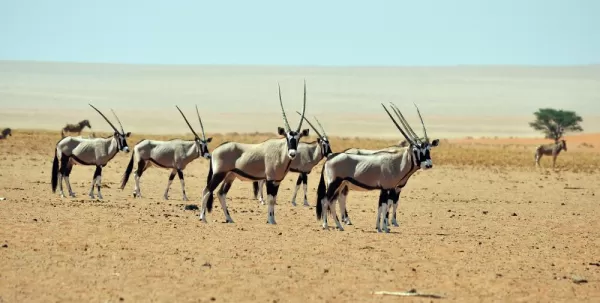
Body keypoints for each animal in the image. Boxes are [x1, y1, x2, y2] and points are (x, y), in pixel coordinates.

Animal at [199, 82, 308, 224]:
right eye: (287, 137)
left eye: (298, 138)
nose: (292, 153)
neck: (280, 152)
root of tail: (216, 150)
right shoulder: (270, 180)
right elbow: (270, 200)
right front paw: (270, 220)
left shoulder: (277, 181)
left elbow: (274, 200)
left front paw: (273, 220)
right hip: (219, 174)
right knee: (207, 191)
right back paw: (203, 218)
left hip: (230, 176)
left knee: (220, 193)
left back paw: (229, 218)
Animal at [316, 102, 438, 233]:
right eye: (416, 150)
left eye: (428, 149)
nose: (428, 164)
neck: (396, 162)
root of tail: (330, 157)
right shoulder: (387, 188)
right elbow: (385, 206)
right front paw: (384, 227)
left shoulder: (388, 189)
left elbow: (382, 206)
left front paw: (381, 227)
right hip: (334, 183)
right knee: (325, 201)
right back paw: (326, 225)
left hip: (340, 185)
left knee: (332, 201)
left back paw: (339, 225)